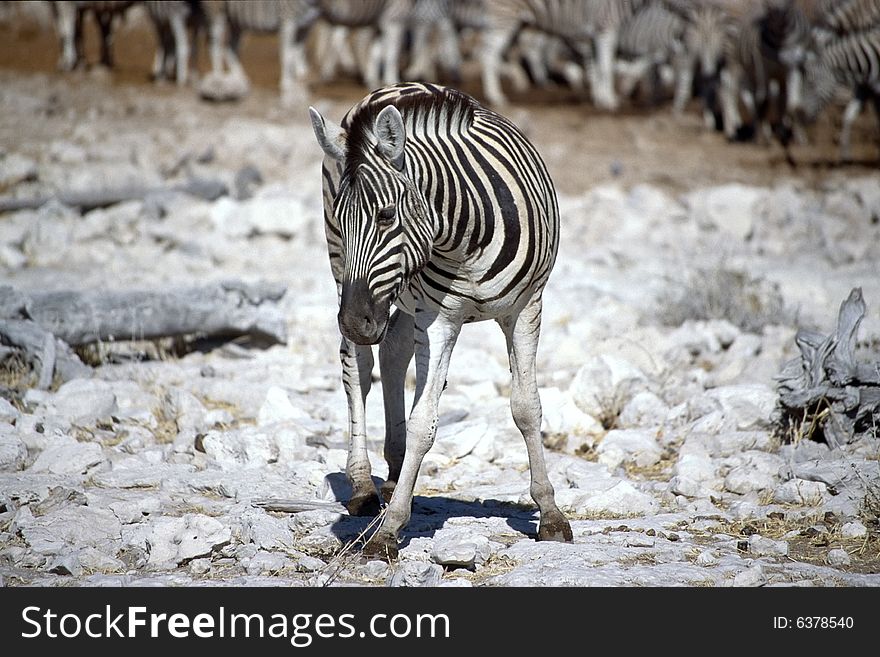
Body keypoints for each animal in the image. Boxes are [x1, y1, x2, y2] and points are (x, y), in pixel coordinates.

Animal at [308, 79, 572, 556]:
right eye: (341, 216)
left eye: (386, 215)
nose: (355, 323)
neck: (464, 236)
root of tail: (391, 88)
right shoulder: (438, 317)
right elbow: (423, 424)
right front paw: (390, 527)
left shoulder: (527, 306)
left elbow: (526, 408)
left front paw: (550, 513)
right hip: (348, 277)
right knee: (358, 366)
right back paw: (363, 485)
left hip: (395, 303)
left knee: (391, 351)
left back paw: (396, 472)